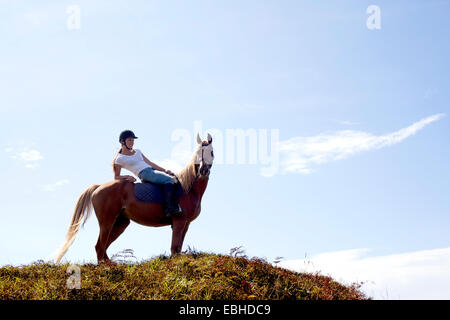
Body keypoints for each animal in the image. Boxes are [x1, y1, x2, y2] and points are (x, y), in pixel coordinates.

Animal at [54, 133, 214, 264]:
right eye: (198, 152)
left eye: (211, 152)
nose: (203, 170)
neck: (186, 189)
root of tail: (99, 187)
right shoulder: (179, 221)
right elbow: (174, 249)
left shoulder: (185, 224)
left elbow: (178, 248)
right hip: (107, 221)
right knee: (99, 246)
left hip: (120, 223)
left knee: (103, 246)